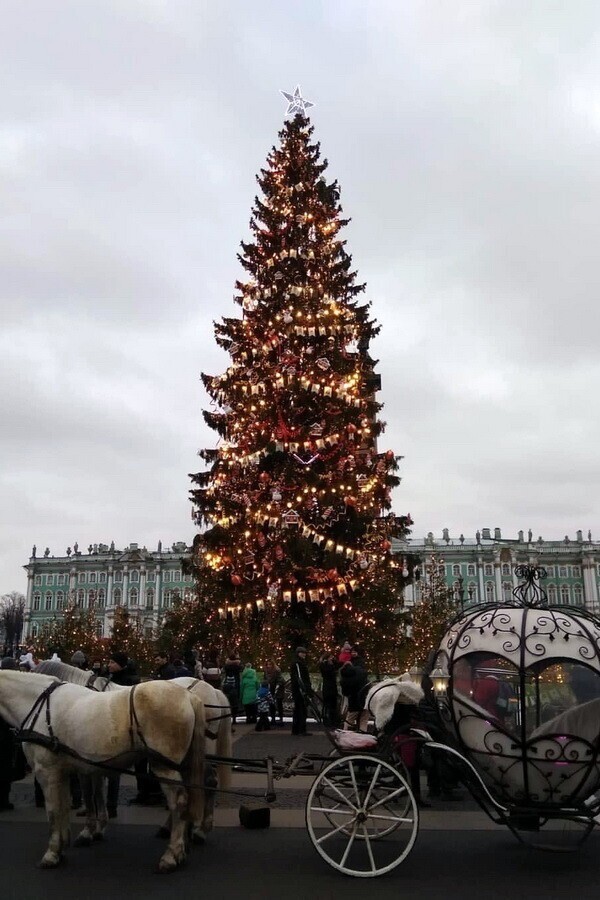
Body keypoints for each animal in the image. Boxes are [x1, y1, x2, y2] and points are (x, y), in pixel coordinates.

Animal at [0, 668, 206, 872]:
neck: (39, 706)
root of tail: (188, 696)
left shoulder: (47, 772)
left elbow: (53, 812)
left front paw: (51, 853)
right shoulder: (63, 771)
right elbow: (63, 807)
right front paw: (62, 847)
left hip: (164, 767)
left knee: (178, 802)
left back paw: (171, 854)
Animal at [35, 660, 232, 844]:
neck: (76, 703)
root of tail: (212, 690)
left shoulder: (84, 762)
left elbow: (90, 795)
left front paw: (88, 831)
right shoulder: (96, 762)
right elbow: (98, 792)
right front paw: (99, 826)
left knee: (207, 783)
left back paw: (199, 830)